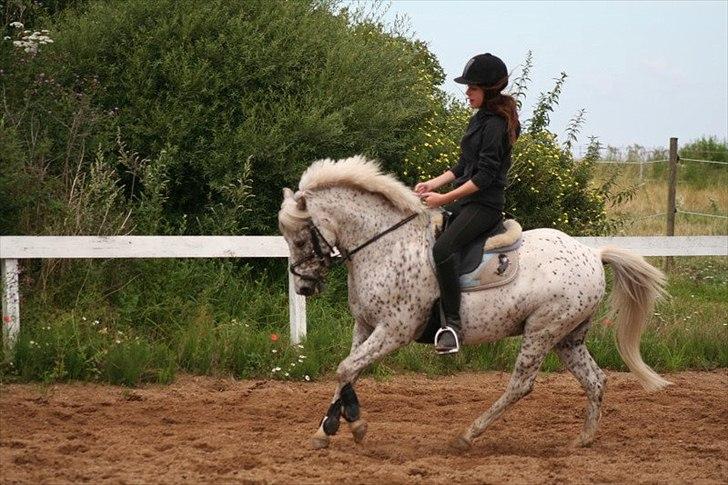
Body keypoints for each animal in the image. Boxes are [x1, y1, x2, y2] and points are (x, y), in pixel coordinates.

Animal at [278, 155, 672, 450]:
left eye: (299, 239)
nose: (304, 287)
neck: (386, 245)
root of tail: (593, 253)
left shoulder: (394, 330)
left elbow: (346, 368)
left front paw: (350, 427)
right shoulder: (365, 325)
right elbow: (348, 371)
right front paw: (329, 428)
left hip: (542, 330)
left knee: (521, 385)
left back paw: (469, 435)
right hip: (568, 337)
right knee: (595, 380)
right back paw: (584, 440)